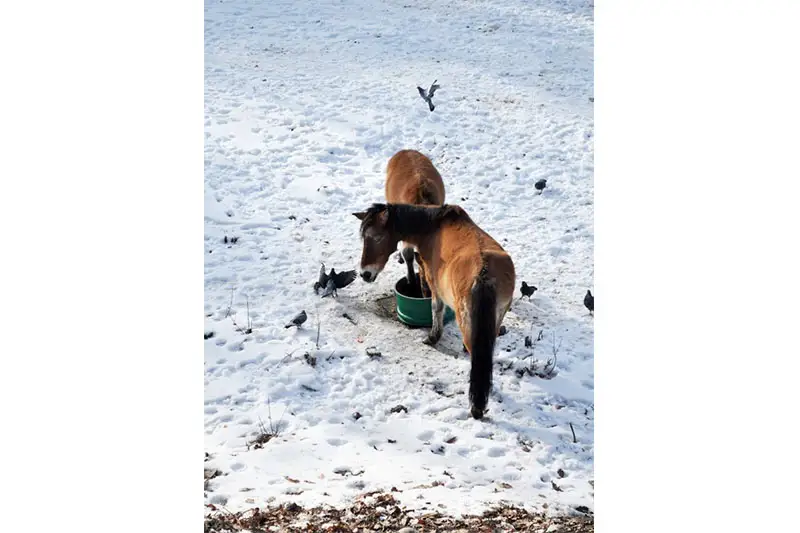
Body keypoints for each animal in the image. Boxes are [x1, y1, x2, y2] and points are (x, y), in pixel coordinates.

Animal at [354, 202, 516, 418]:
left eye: (377, 237)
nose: (365, 274)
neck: (433, 226)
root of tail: (484, 274)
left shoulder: (433, 282)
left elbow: (436, 308)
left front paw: (432, 337)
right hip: (497, 318)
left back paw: (477, 407)